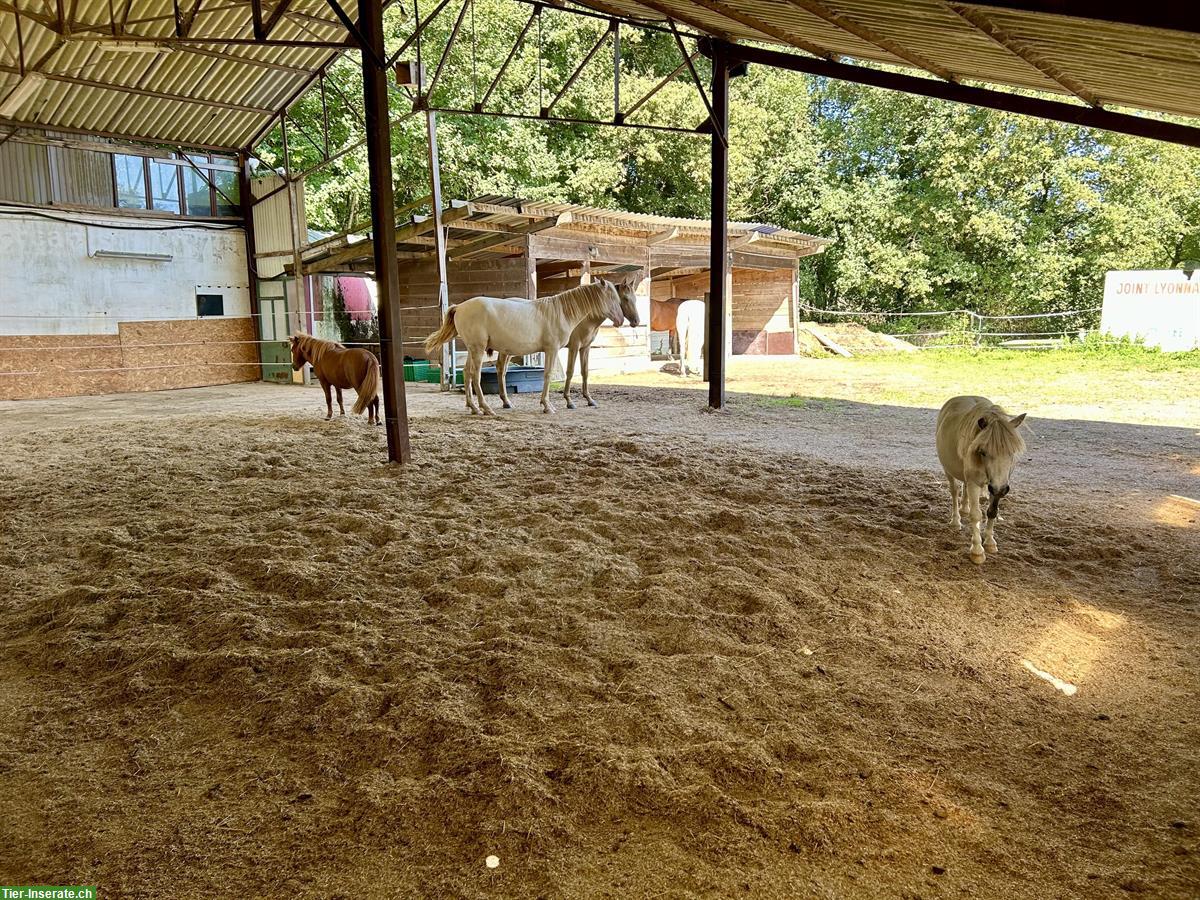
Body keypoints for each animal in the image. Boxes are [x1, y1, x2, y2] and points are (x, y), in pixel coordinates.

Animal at [427, 280, 643, 417]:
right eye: (617, 299)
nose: (623, 321)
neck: (561, 312)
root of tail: (460, 307)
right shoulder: (554, 349)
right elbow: (549, 375)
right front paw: (548, 405)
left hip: (473, 349)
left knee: (467, 373)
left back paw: (474, 407)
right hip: (478, 349)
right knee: (475, 375)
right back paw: (486, 408)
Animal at [931, 393, 1027, 564]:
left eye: (1012, 452)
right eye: (983, 452)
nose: (1000, 489)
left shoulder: (997, 485)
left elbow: (992, 512)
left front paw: (989, 542)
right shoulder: (977, 483)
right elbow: (976, 515)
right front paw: (977, 550)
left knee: (964, 489)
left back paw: (964, 508)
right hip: (948, 469)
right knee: (954, 491)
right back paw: (956, 520)